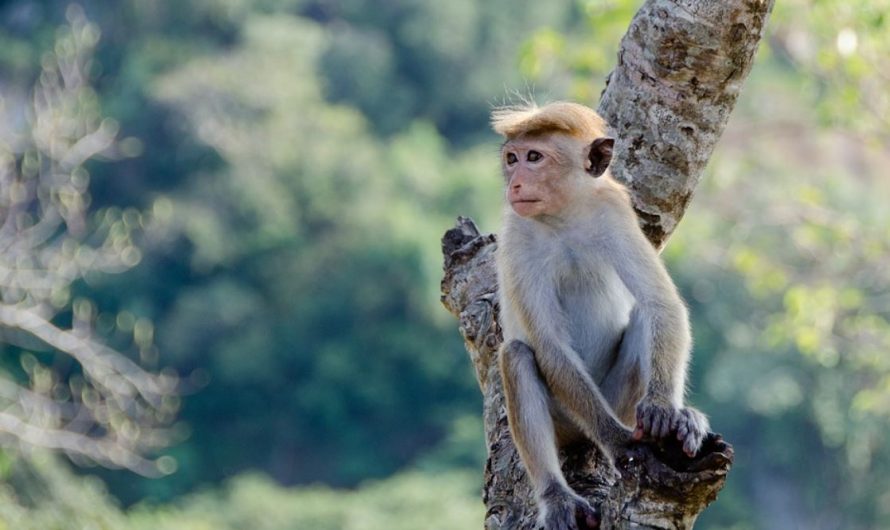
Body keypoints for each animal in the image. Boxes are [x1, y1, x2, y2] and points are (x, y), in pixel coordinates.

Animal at [492, 101, 709, 530]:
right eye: (512, 159)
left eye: (534, 158)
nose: (516, 184)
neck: (563, 217)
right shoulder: (518, 236)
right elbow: (549, 345)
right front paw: (617, 441)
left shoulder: (614, 211)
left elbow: (661, 303)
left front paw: (666, 411)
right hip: (568, 418)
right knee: (518, 356)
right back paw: (557, 497)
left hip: (617, 398)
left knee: (643, 317)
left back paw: (681, 418)